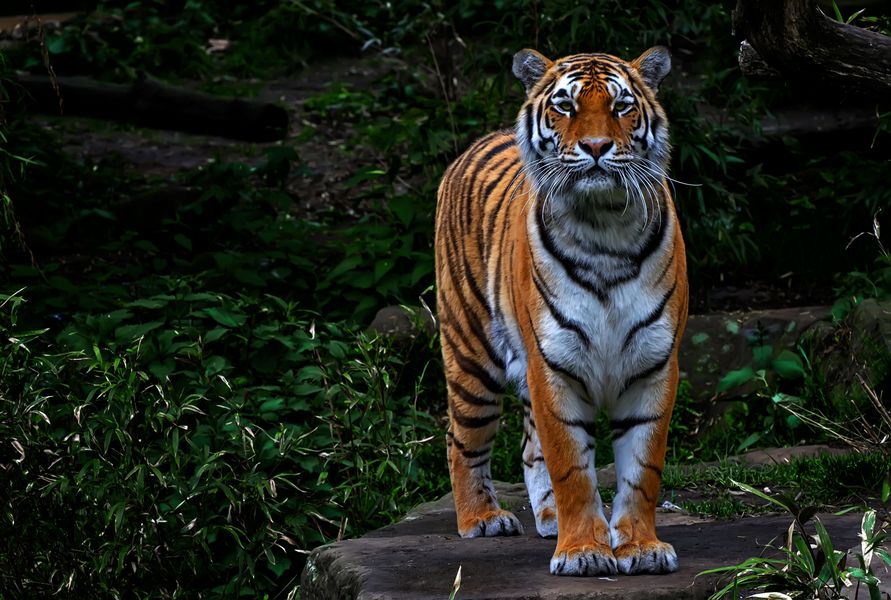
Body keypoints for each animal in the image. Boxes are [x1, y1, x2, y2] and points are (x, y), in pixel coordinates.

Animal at [434, 47, 688, 576]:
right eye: (565, 106)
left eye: (621, 106)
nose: (595, 147)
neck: (606, 227)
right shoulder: (552, 364)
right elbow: (572, 467)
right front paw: (584, 552)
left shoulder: (655, 364)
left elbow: (642, 469)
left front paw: (640, 547)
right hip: (471, 355)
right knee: (461, 438)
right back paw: (482, 518)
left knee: (530, 449)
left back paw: (548, 518)